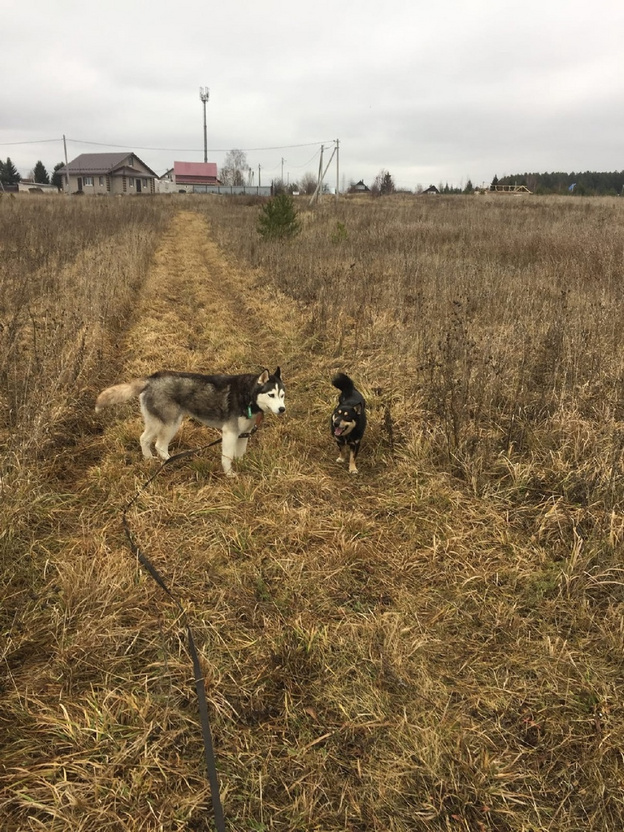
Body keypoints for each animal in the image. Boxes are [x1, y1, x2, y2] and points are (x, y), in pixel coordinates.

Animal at [95, 368, 286, 478]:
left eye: (282, 395)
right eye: (271, 395)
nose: (282, 409)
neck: (248, 395)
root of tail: (151, 378)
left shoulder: (243, 434)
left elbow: (239, 455)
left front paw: (241, 467)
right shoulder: (230, 433)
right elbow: (227, 457)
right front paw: (230, 474)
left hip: (162, 422)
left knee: (148, 440)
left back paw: (155, 460)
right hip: (169, 423)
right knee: (155, 443)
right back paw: (163, 461)